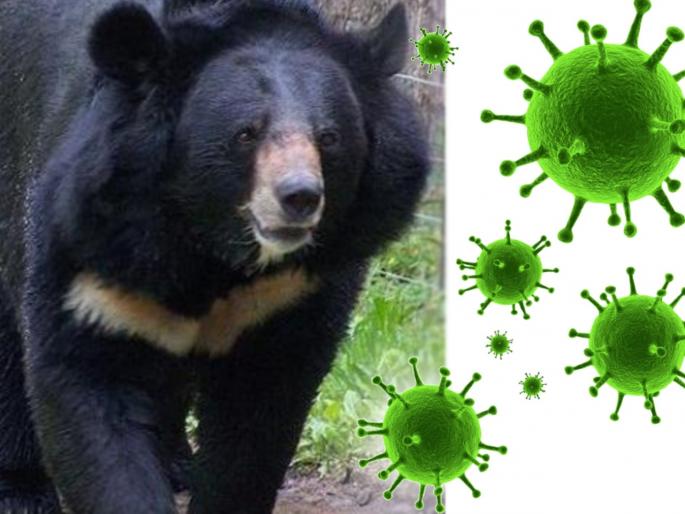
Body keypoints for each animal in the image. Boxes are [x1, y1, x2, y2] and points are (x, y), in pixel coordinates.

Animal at [0, 0, 430, 513]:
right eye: (245, 134)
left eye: (328, 137)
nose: (300, 197)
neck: (211, 244)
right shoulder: (90, 251)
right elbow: (85, 386)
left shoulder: (296, 292)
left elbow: (252, 427)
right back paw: (22, 490)